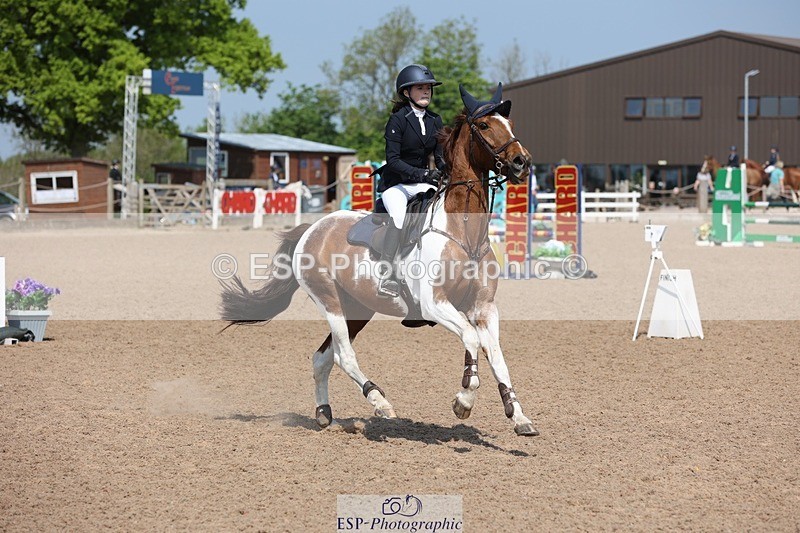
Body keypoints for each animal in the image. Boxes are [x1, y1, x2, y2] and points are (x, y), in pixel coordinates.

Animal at [220, 83, 539, 437]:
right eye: (483, 125)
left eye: (509, 124)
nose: (522, 162)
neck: (463, 233)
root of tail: (313, 228)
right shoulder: (436, 305)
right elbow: (470, 339)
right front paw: (464, 401)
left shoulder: (484, 308)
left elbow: (497, 357)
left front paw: (518, 416)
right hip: (330, 302)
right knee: (343, 356)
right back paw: (380, 402)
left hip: (358, 309)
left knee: (322, 358)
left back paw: (324, 413)